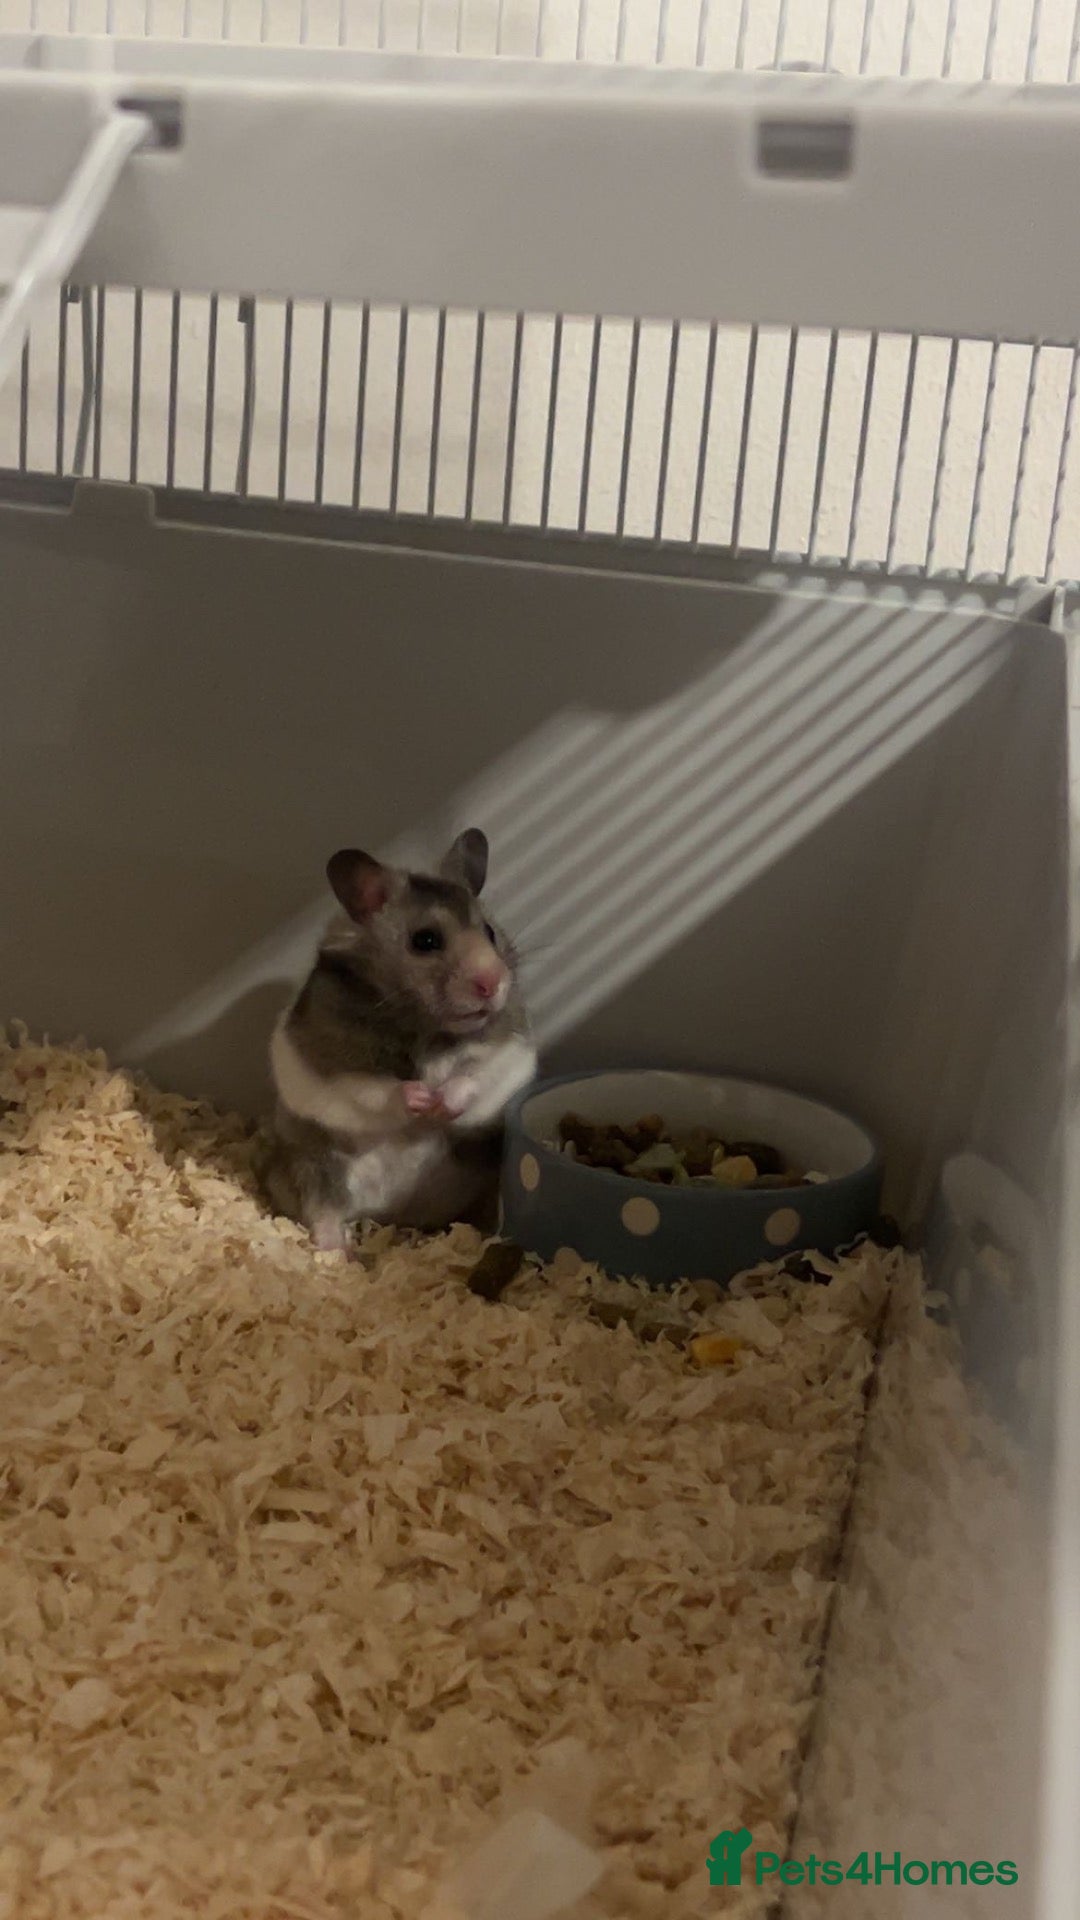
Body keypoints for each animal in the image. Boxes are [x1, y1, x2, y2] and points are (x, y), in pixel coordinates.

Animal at [264, 829, 537, 1250]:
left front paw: (441, 1104)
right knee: (323, 1208)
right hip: (311, 1165)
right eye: (425, 941)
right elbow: (374, 1087)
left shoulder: (510, 1048)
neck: (428, 1027)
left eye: (490, 933)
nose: (492, 984)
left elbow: (475, 1075)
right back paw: (335, 1250)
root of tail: (391, 1214)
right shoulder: (328, 1057)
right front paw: (422, 1099)